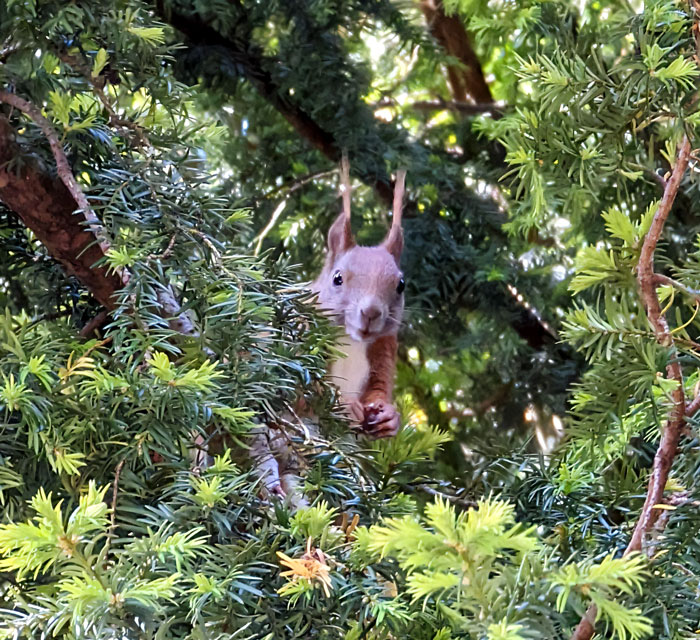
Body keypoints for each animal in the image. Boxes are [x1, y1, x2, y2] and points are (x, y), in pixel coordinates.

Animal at [249, 158, 407, 505]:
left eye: (401, 285)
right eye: (338, 278)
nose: (371, 313)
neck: (351, 339)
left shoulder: (384, 349)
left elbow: (379, 388)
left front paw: (388, 416)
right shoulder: (297, 336)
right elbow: (301, 391)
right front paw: (345, 405)